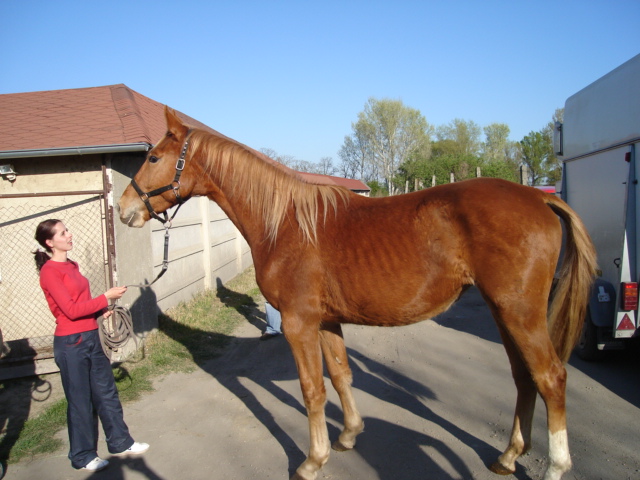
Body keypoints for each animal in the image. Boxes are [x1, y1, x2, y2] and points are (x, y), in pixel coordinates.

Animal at [119, 108, 596, 480]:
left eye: (154, 156)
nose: (125, 209)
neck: (285, 223)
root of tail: (538, 198)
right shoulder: (327, 321)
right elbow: (341, 375)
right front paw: (348, 434)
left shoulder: (298, 324)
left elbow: (312, 390)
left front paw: (313, 460)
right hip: (506, 313)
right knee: (524, 377)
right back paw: (509, 456)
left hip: (520, 314)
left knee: (551, 377)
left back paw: (555, 466)